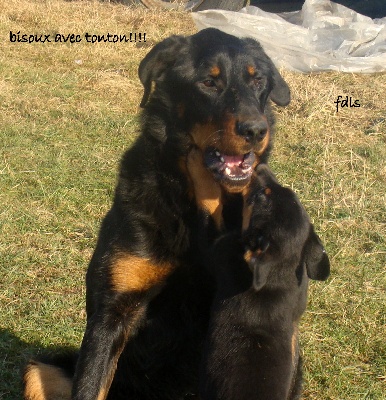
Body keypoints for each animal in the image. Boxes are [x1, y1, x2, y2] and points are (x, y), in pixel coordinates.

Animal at [24, 28, 290, 400]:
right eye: (208, 82)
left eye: (259, 80)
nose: (255, 130)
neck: (198, 211)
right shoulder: (113, 313)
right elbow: (92, 383)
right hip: (40, 370)